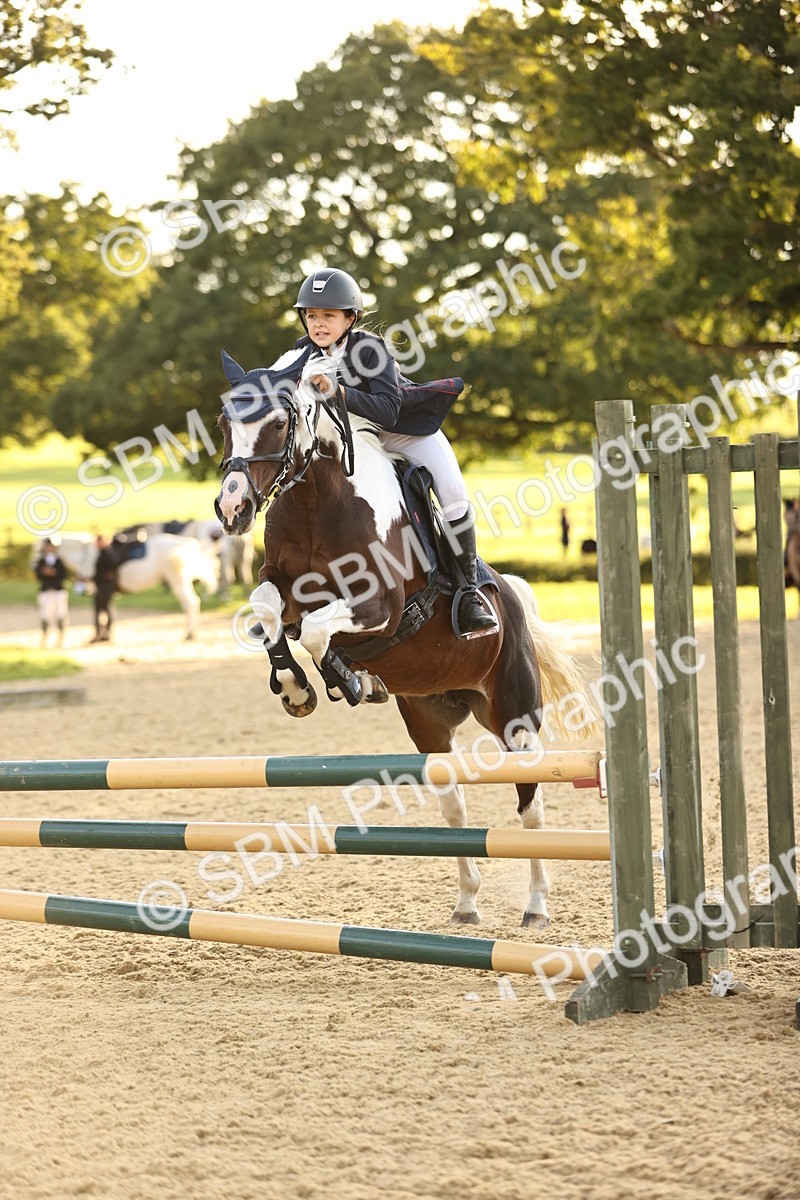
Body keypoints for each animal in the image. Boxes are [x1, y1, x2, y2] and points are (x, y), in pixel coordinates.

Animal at [53, 533, 220, 640]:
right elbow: (104, 609)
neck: (89, 555)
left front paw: (102, 636)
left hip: (177, 580)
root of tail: (185, 544)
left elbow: (102, 609)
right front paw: (102, 634)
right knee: (192, 603)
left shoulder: (103, 586)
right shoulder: (102, 589)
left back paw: (190, 633)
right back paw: (193, 631)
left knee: (189, 603)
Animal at [214, 353, 597, 928]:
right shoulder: (282, 586)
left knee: (530, 804)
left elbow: (318, 630)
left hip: (515, 718)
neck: (316, 499)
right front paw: (298, 687)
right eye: (223, 423)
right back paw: (466, 902)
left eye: (278, 424)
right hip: (430, 724)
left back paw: (535, 905)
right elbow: (269, 612)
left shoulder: (381, 607)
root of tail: (510, 596)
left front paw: (347, 679)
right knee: (455, 805)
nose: (232, 508)